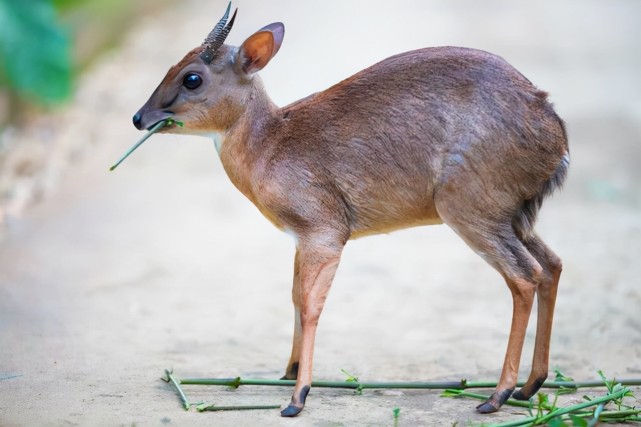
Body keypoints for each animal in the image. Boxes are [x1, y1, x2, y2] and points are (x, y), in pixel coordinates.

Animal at [129, 4, 564, 418]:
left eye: (192, 78)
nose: (139, 118)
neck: (272, 143)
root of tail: (553, 126)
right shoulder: (300, 240)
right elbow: (295, 297)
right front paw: (289, 371)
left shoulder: (325, 233)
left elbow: (311, 306)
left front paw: (297, 397)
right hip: (513, 218)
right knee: (552, 265)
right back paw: (531, 385)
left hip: (470, 212)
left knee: (524, 276)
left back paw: (496, 396)